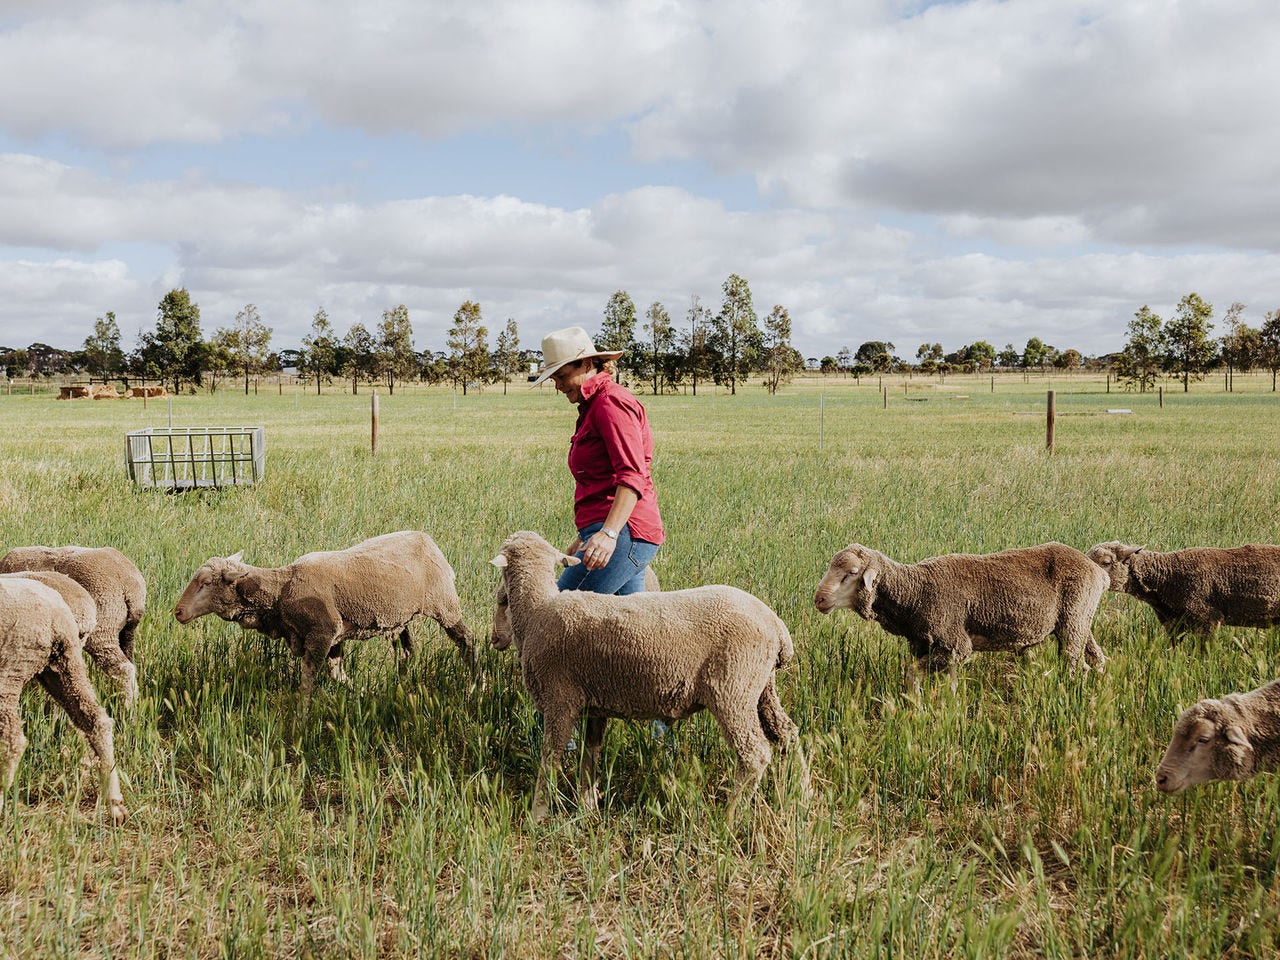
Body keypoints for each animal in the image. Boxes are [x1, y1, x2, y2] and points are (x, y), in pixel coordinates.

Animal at [0, 545, 146, 706]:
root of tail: (131, 584)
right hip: (126, 632)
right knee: (130, 665)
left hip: (103, 628)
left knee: (123, 669)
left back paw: (126, 707)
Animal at [0, 577, 126, 824]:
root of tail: (55, 615)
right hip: (63, 663)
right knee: (97, 721)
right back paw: (114, 803)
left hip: (11, 668)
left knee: (12, 740)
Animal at [173, 531, 478, 727]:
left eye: (206, 583)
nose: (177, 612)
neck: (281, 589)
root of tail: (427, 539)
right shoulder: (333, 638)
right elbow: (337, 674)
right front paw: (368, 696)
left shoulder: (322, 635)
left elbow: (308, 682)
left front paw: (300, 722)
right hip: (399, 617)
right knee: (406, 652)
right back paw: (399, 688)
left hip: (444, 604)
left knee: (467, 640)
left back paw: (475, 686)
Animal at [490, 530, 800, 822]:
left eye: (502, 600)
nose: (494, 639)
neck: (536, 613)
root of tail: (776, 625)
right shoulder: (595, 705)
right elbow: (590, 756)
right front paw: (587, 809)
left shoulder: (559, 701)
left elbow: (550, 760)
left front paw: (537, 815)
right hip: (760, 687)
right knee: (787, 733)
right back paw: (796, 794)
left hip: (733, 689)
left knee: (754, 753)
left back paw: (731, 816)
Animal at [814, 542, 1109, 684]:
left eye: (851, 573)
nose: (819, 599)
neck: (916, 591)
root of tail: (1097, 570)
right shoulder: (931, 646)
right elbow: (949, 682)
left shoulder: (954, 644)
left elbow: (912, 674)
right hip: (1079, 619)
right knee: (1094, 657)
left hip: (1074, 621)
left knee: (1071, 662)